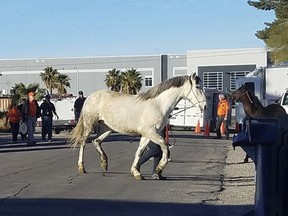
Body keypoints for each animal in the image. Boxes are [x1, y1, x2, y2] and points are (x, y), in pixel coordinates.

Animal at [68, 73, 206, 180]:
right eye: (198, 86)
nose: (205, 106)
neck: (158, 104)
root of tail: (90, 97)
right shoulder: (151, 133)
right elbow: (165, 147)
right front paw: (159, 169)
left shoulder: (146, 135)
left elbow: (139, 151)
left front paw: (136, 172)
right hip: (89, 125)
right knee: (83, 143)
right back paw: (81, 167)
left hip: (107, 128)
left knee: (96, 141)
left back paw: (104, 162)